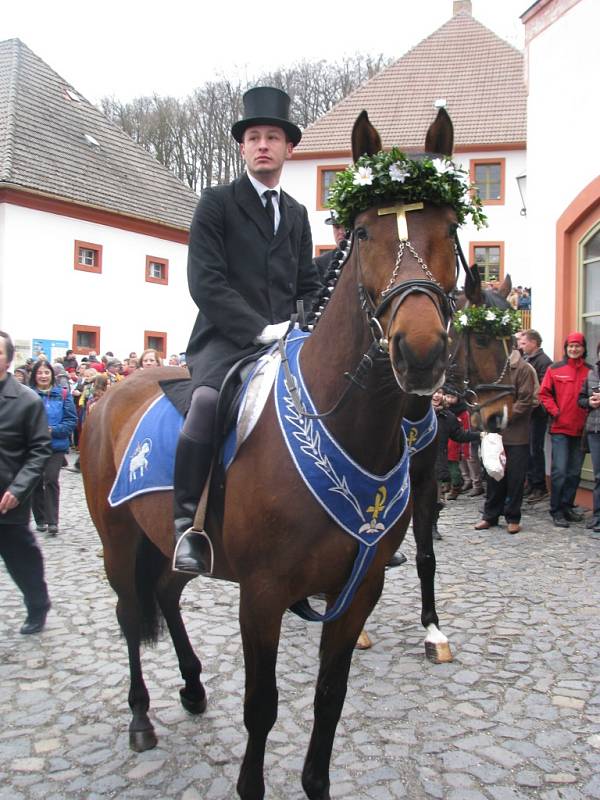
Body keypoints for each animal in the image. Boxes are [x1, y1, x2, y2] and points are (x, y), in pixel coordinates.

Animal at [83, 108, 478, 800]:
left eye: (449, 227)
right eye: (366, 232)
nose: (421, 351)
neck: (347, 426)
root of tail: (107, 394)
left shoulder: (359, 589)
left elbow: (329, 699)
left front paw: (315, 782)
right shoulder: (263, 594)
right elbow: (262, 706)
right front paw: (250, 784)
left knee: (167, 595)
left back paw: (192, 686)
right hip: (118, 540)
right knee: (132, 613)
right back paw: (140, 718)